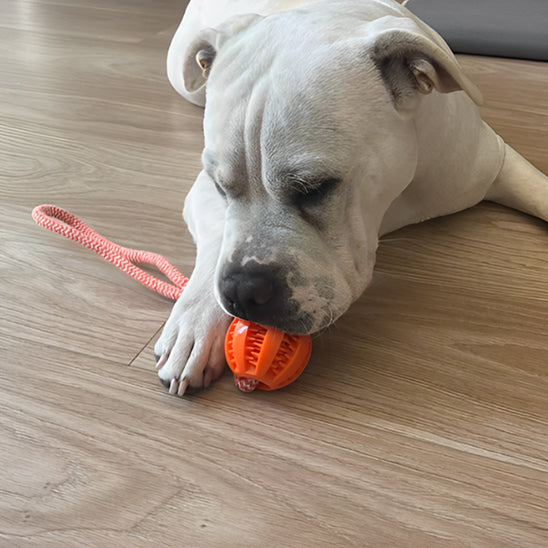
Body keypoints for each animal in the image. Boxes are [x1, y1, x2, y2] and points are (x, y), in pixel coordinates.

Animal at [155, 0, 548, 396]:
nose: (243, 288)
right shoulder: (202, 192)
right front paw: (195, 322)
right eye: (222, 188)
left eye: (316, 187)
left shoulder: (496, 163)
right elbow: (220, 239)